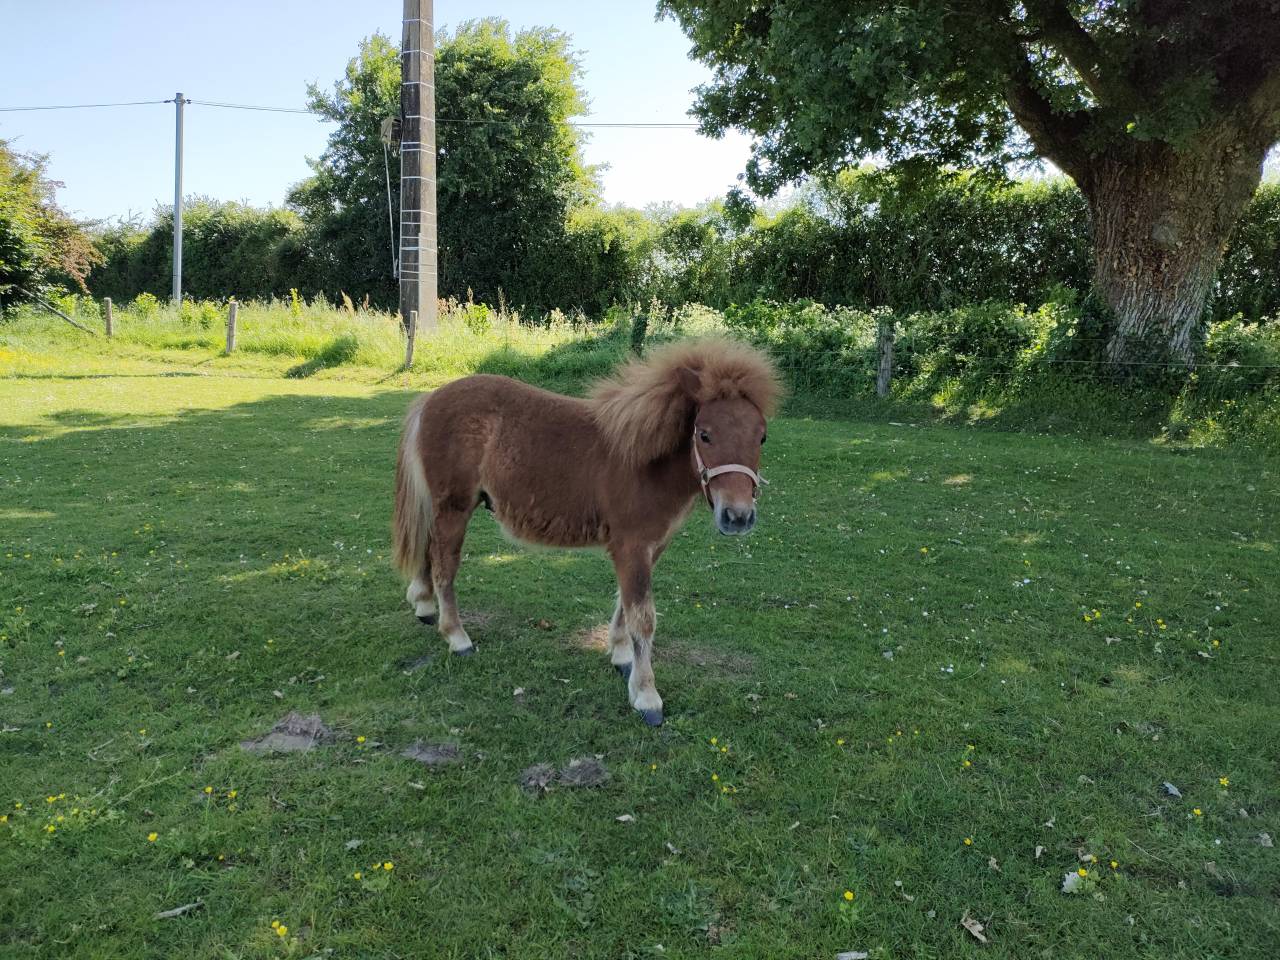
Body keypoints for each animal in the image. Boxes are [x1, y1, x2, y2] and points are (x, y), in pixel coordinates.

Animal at [392, 338, 780, 725]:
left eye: (762, 436)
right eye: (704, 434)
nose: (738, 517)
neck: (645, 461)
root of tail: (430, 399)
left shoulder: (650, 547)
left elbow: (626, 604)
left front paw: (621, 658)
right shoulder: (632, 546)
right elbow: (643, 618)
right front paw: (647, 697)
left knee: (428, 550)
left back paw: (424, 605)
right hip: (454, 508)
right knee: (444, 565)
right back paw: (457, 638)